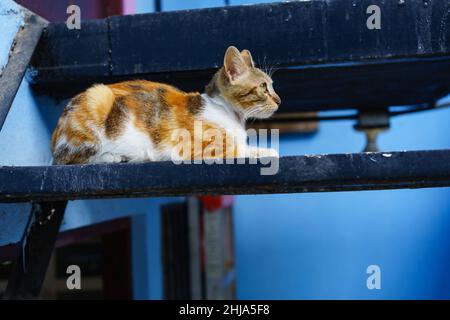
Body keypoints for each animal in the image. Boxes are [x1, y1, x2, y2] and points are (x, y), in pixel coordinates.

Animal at [51, 47, 280, 165]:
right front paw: (268, 152)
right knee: (72, 160)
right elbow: (239, 151)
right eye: (263, 87)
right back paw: (115, 157)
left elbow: (246, 147)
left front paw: (265, 150)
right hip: (97, 97)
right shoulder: (201, 151)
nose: (279, 100)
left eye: (272, 85)